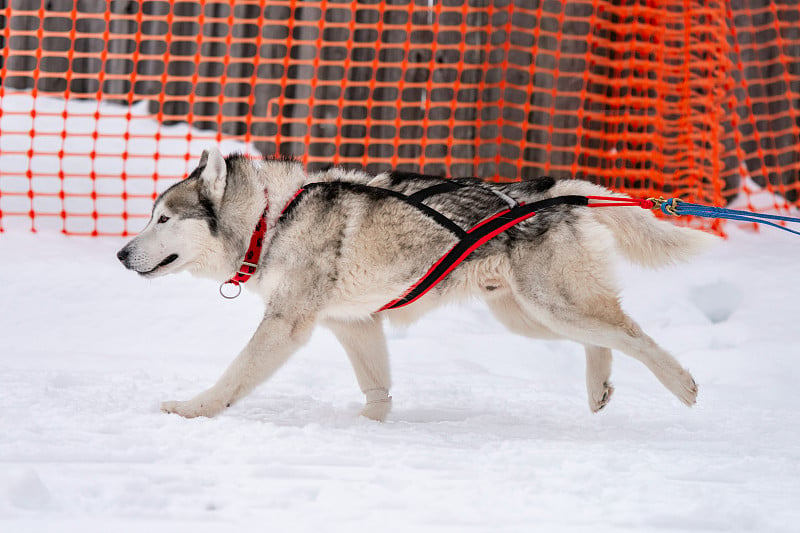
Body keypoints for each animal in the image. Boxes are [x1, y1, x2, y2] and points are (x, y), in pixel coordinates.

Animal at [117, 149, 712, 420]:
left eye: (163, 219)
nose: (121, 255)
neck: (272, 217)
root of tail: (557, 190)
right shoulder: (355, 324)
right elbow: (377, 387)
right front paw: (371, 425)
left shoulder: (286, 325)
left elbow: (234, 376)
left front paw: (194, 409)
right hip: (528, 316)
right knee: (601, 341)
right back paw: (598, 386)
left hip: (553, 304)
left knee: (633, 334)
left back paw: (683, 384)